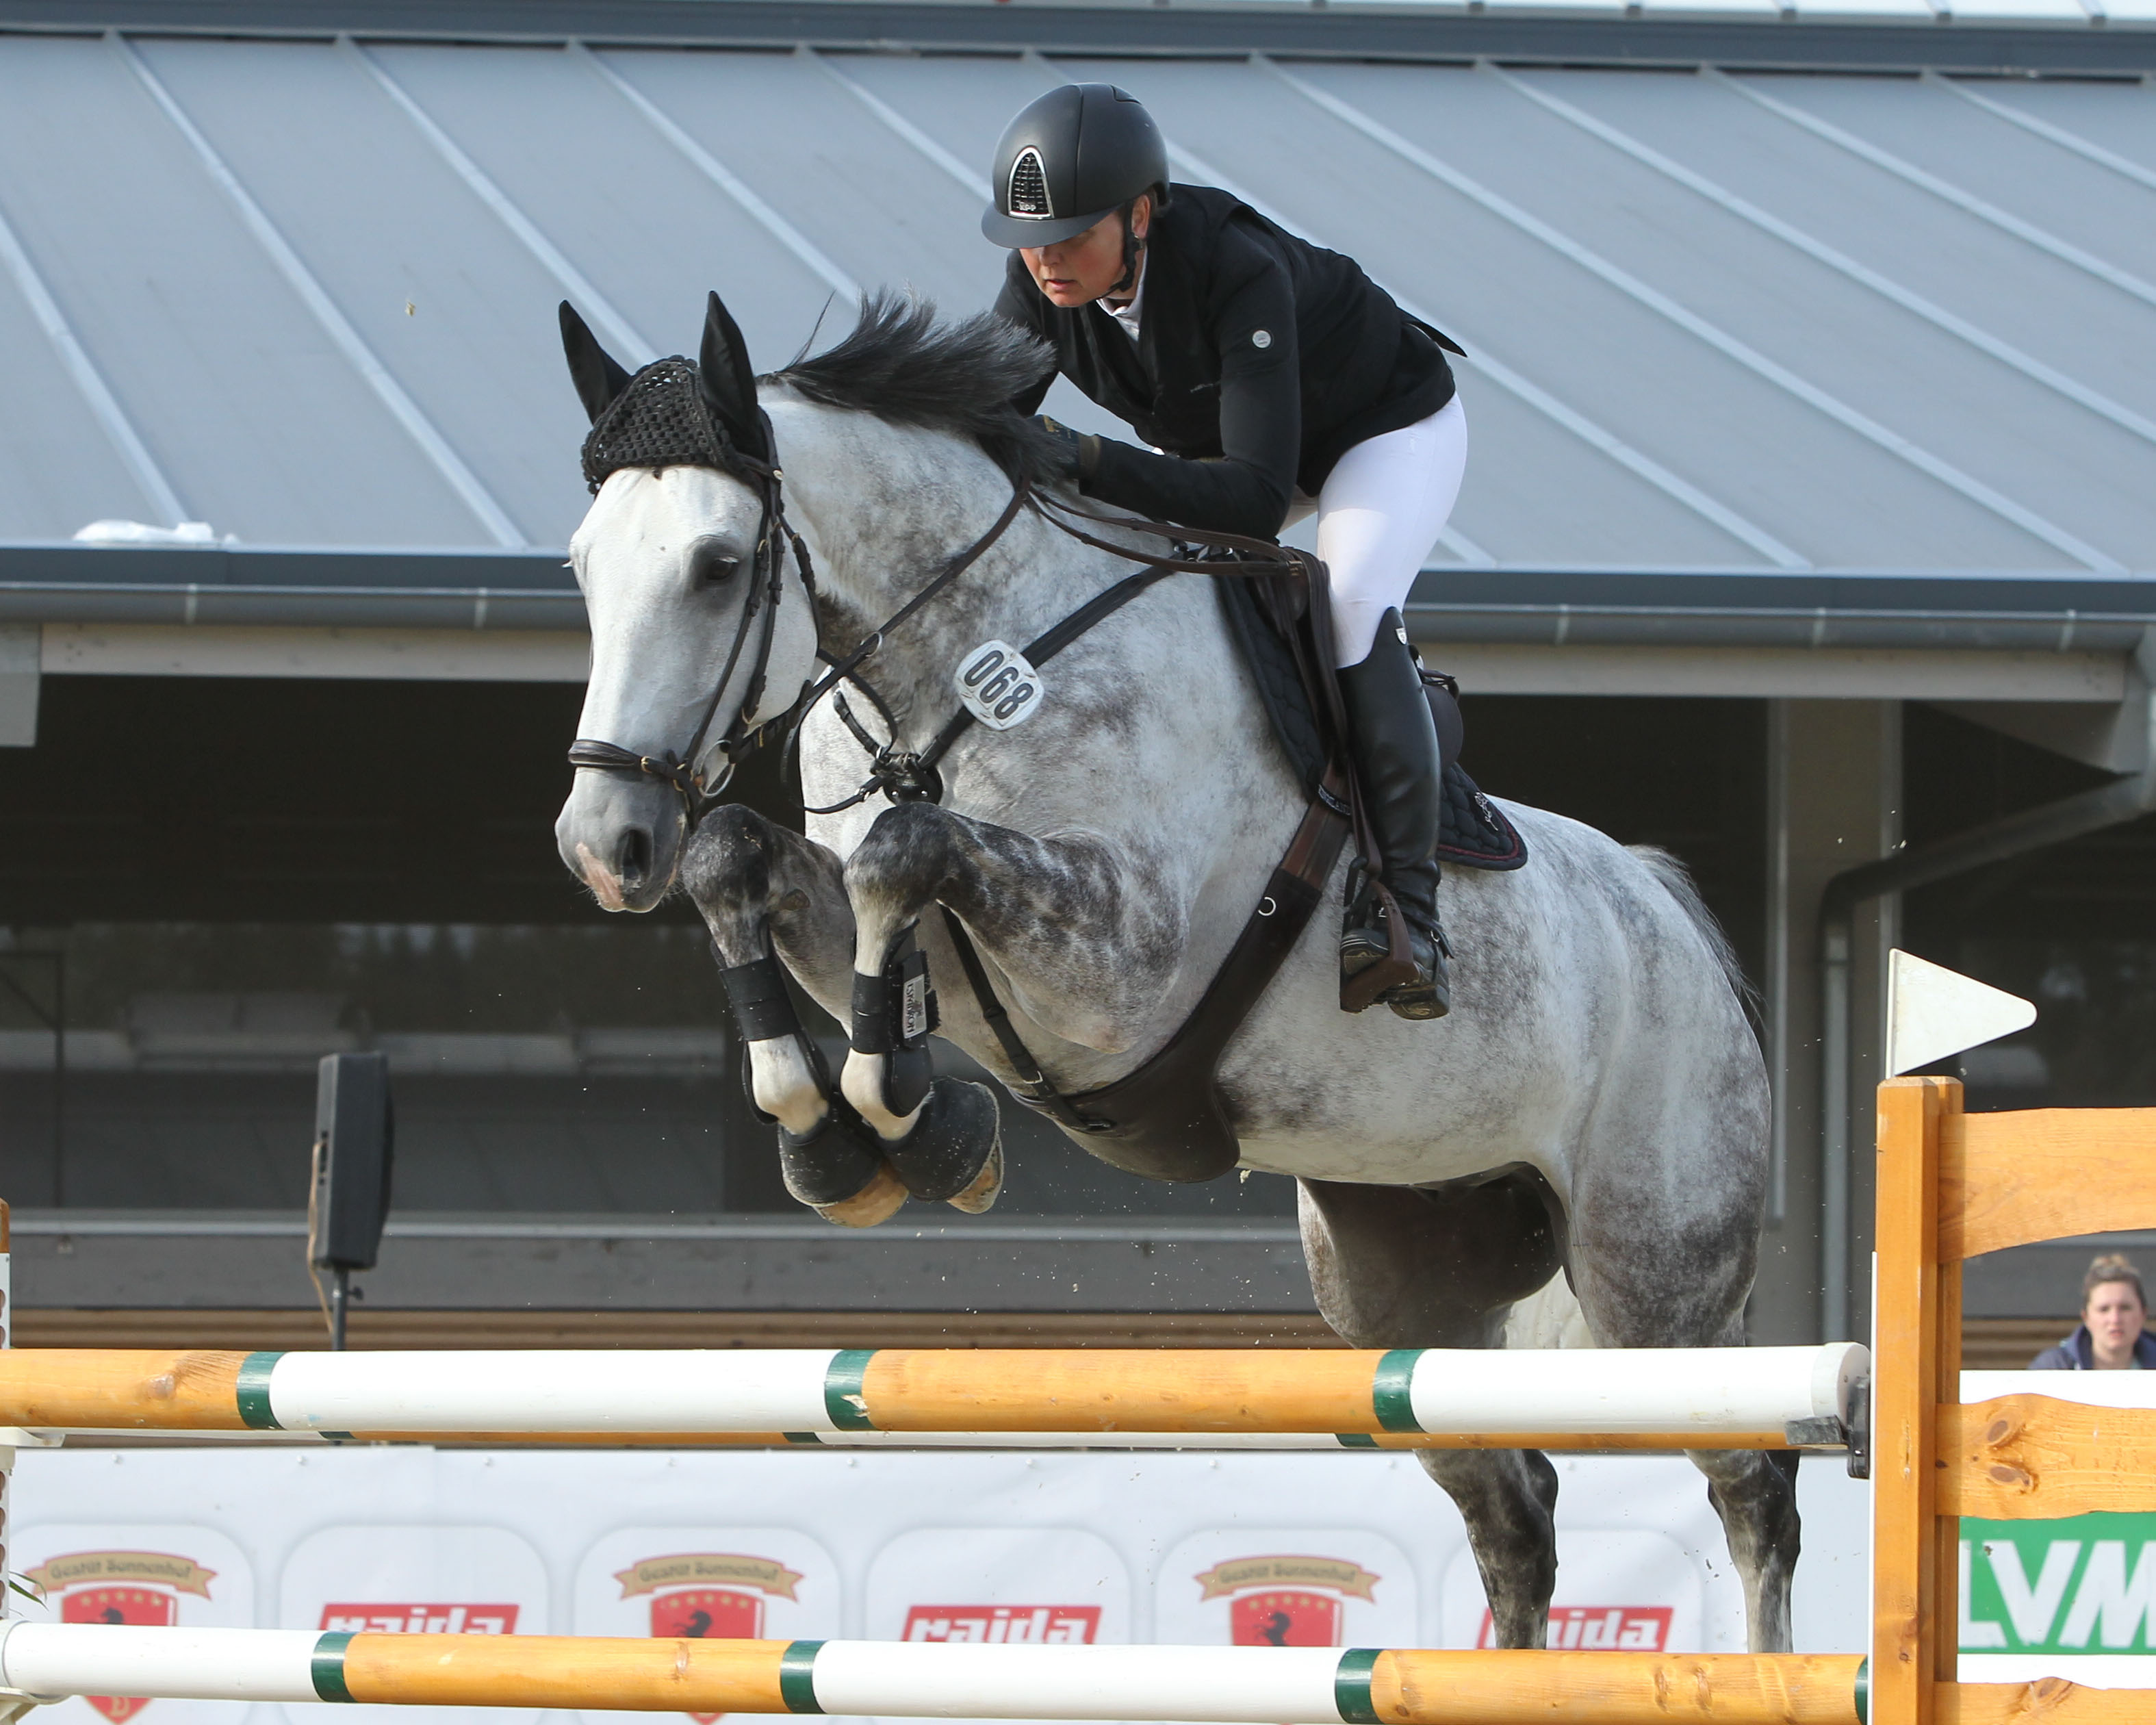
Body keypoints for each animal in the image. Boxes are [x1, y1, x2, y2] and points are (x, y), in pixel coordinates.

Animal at [561, 293, 1802, 1647]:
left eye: (717, 564)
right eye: (580, 565)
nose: (602, 846)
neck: (962, 667)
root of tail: (1669, 913)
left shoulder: (1120, 959)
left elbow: (911, 852)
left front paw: (915, 1125)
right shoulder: (878, 928)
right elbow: (745, 855)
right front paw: (839, 1140)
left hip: (1655, 1278)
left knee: (1751, 1483)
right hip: (1403, 1292)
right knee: (1513, 1512)